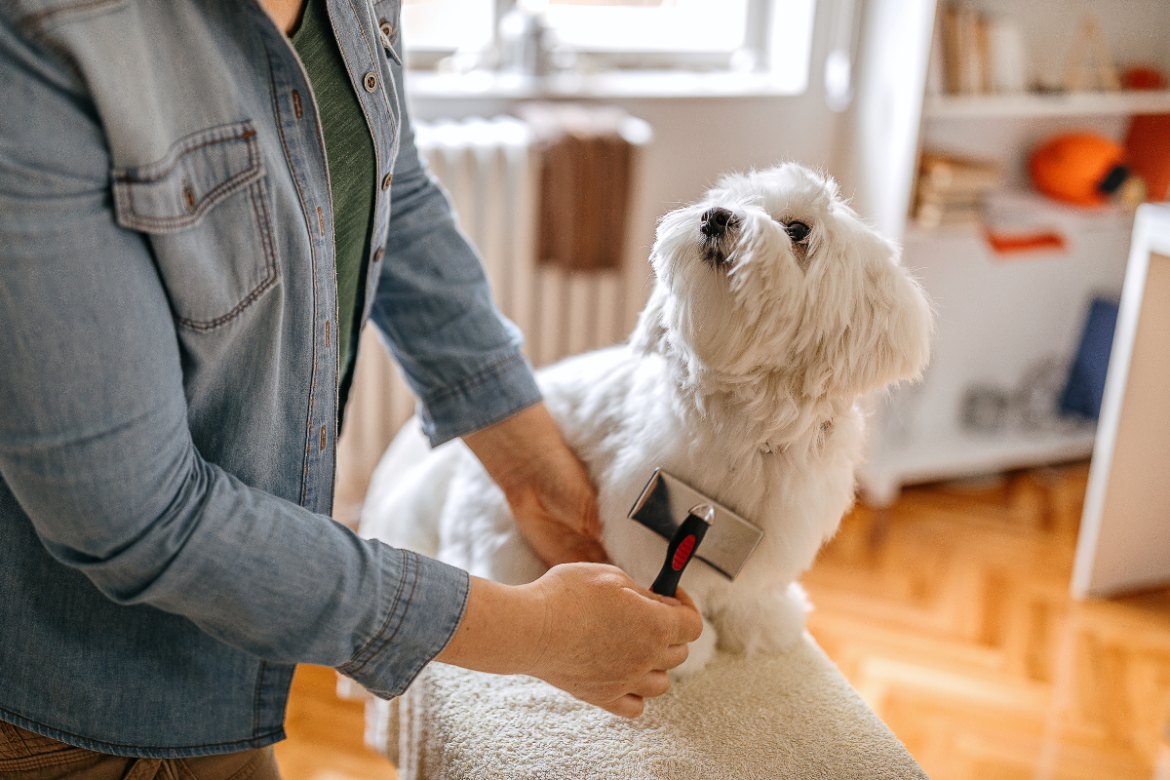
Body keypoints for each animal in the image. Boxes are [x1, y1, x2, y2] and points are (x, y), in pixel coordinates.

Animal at [362, 163, 931, 678]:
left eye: (798, 230)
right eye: (732, 198)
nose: (716, 216)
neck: (749, 425)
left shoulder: (780, 531)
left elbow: (753, 593)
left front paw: (764, 624)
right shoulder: (650, 516)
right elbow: (675, 583)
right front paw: (691, 651)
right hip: (502, 540)